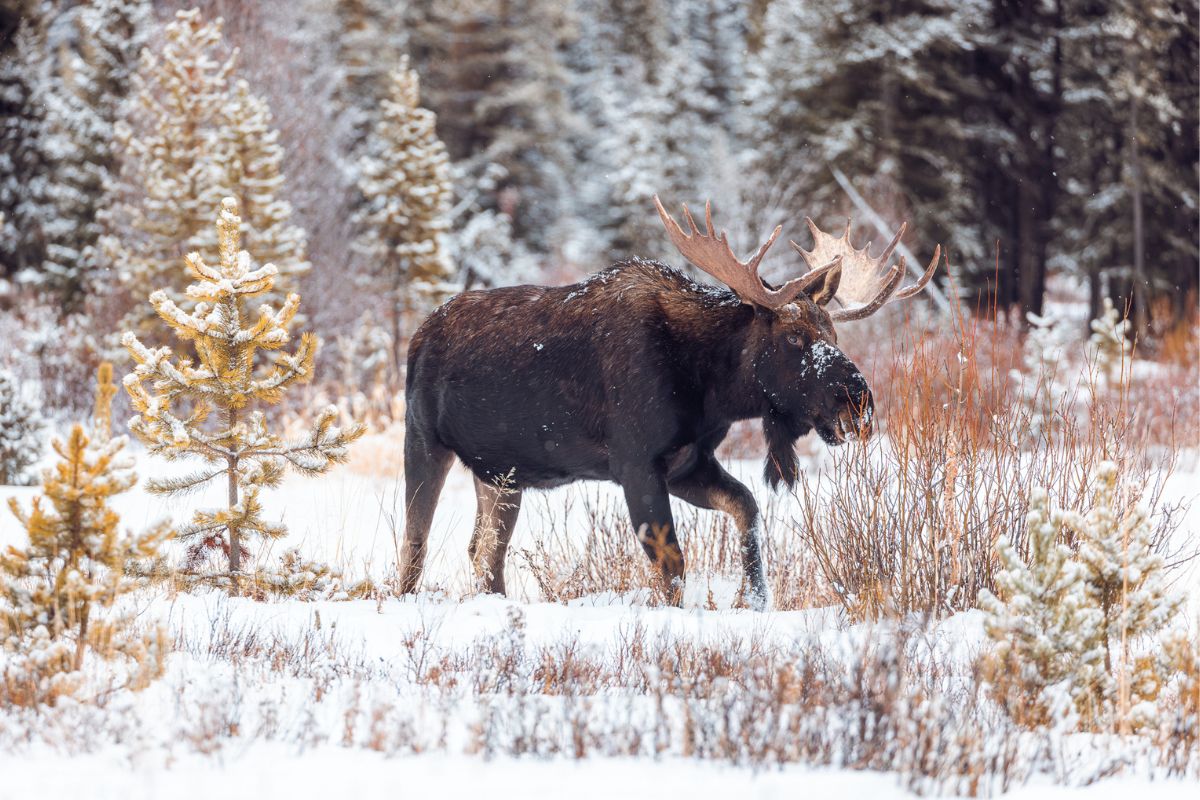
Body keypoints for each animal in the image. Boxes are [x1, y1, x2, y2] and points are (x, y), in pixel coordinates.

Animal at [398, 196, 940, 609]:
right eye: (793, 337)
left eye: (832, 333)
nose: (859, 404)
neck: (710, 389)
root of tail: (418, 335)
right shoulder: (636, 463)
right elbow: (673, 562)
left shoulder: (687, 462)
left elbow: (747, 509)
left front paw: (753, 599)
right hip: (423, 441)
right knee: (415, 544)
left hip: (502, 475)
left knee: (484, 552)